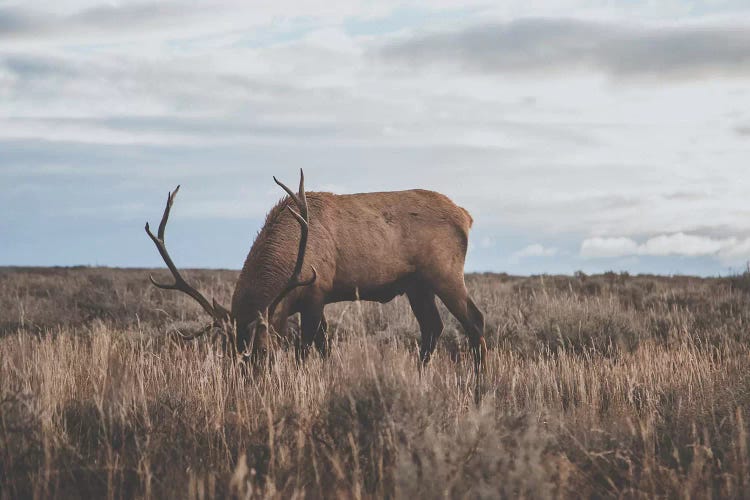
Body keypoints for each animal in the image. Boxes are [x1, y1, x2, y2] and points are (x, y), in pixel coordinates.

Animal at [145, 170, 488, 376]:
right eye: (230, 354)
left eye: (265, 352)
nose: (251, 383)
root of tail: (467, 216)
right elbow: (324, 347)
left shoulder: (317, 291)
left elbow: (306, 349)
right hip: (417, 285)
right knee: (432, 327)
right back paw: (419, 375)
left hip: (445, 273)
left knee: (474, 320)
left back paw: (479, 385)